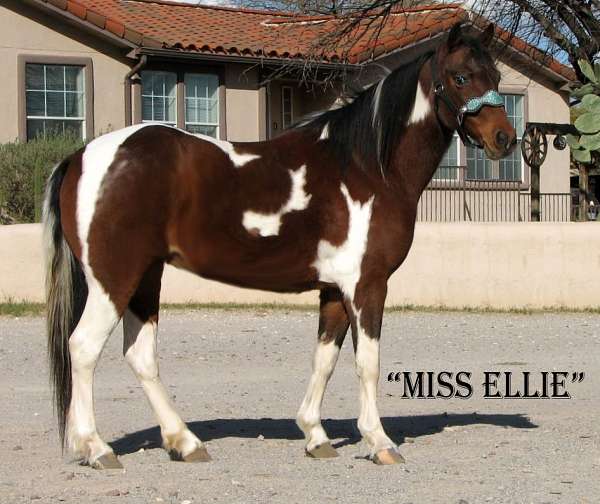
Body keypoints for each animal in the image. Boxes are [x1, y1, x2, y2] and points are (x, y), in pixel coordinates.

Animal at [45, 23, 516, 470]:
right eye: (460, 76)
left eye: (495, 76)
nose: (504, 138)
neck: (366, 167)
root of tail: (82, 156)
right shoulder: (367, 285)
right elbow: (368, 362)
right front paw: (380, 442)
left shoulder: (334, 290)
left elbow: (324, 359)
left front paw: (316, 436)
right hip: (115, 279)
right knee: (83, 348)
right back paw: (98, 449)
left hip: (145, 277)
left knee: (140, 355)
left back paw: (185, 442)